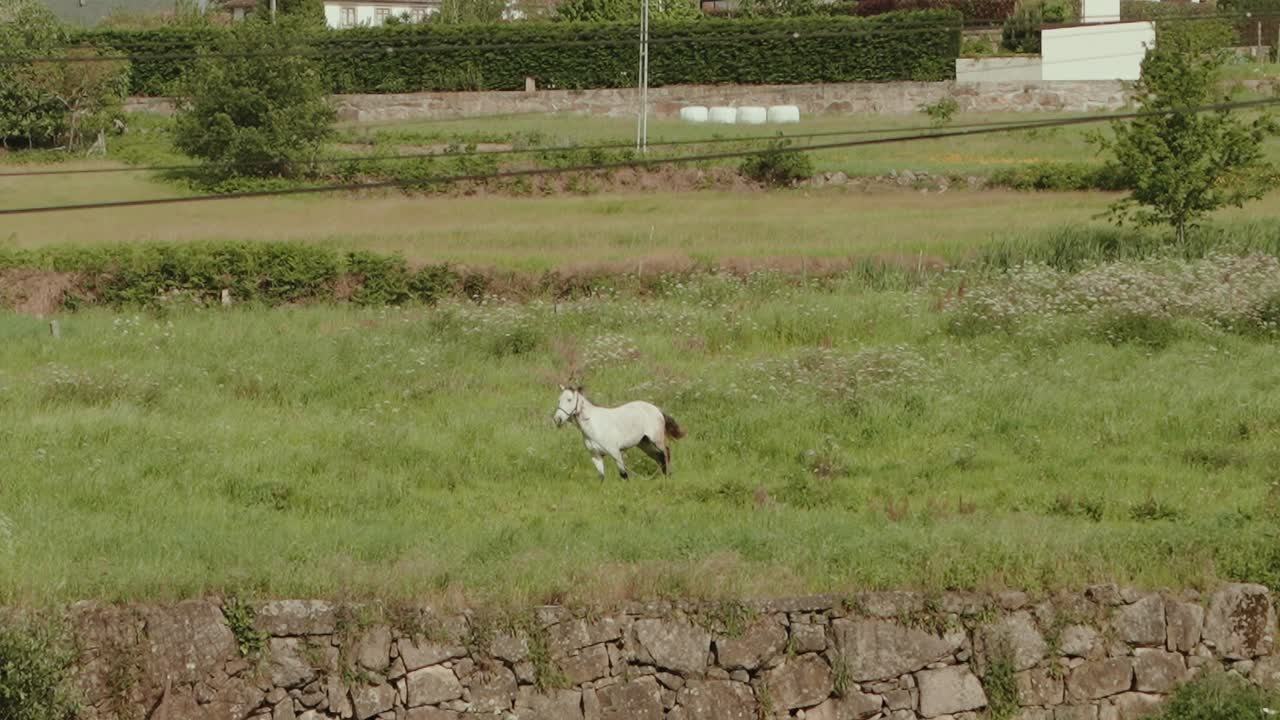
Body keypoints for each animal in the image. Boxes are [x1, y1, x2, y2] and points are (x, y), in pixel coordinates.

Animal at [551, 385, 685, 480]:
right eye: (558, 400)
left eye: (569, 400)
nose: (557, 419)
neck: (594, 426)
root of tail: (657, 410)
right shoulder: (595, 455)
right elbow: (601, 477)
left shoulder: (615, 452)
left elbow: (624, 475)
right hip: (644, 444)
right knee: (659, 458)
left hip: (656, 440)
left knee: (666, 453)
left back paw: (668, 477)